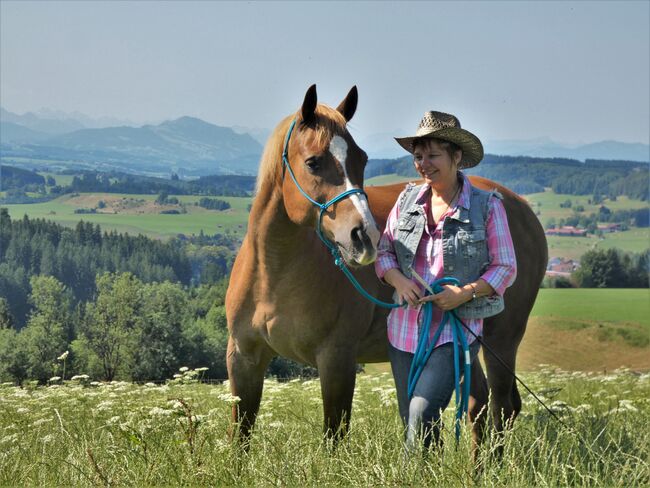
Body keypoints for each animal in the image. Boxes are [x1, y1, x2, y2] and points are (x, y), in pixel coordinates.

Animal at [224, 86, 548, 448]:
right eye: (313, 161)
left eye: (361, 159)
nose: (365, 236)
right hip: (466, 341)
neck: (273, 274)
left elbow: (334, 438)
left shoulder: (337, 360)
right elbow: (240, 436)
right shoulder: (243, 359)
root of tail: (521, 208)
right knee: (478, 405)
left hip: (501, 341)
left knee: (502, 407)